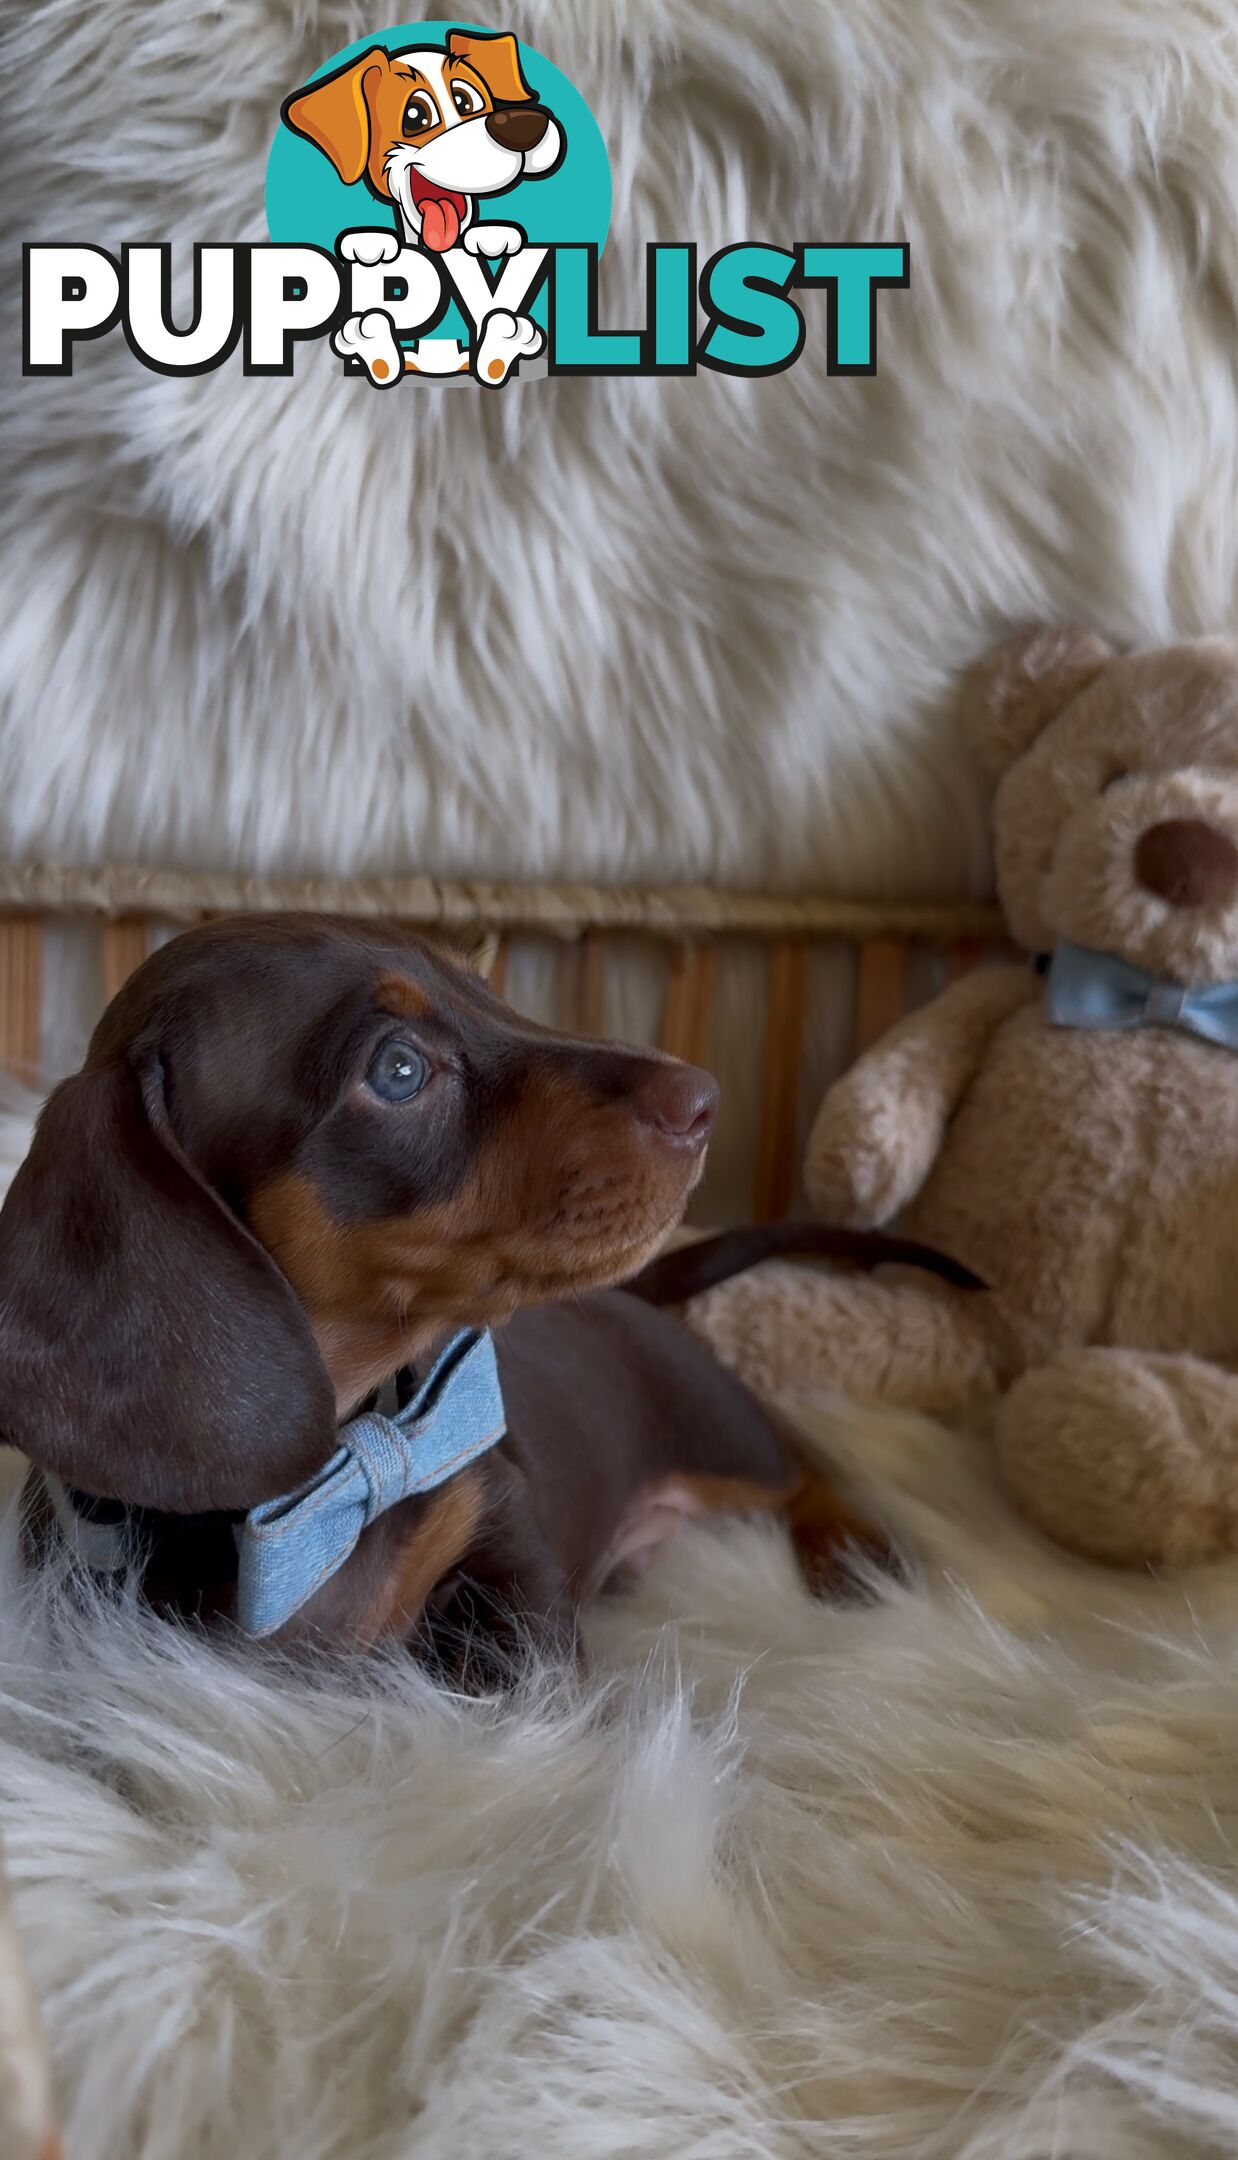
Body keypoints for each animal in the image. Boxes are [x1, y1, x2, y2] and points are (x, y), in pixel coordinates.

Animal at [0, 911, 954, 1667]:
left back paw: (857, 1553)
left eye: (481, 988)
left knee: (805, 1468)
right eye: (398, 1069)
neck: (334, 1486)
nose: (705, 1099)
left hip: (714, 1426)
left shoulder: (505, 1534)